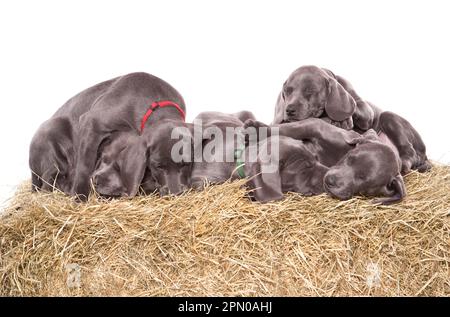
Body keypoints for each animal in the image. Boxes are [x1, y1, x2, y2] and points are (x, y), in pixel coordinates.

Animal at [29, 73, 192, 199]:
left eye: (185, 164)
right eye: (157, 166)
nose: (174, 193)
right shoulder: (91, 124)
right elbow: (84, 168)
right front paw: (80, 198)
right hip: (52, 134)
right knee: (49, 183)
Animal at [244, 117, 410, 204]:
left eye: (362, 179)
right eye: (350, 158)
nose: (331, 181)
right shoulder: (317, 127)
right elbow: (291, 128)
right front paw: (257, 130)